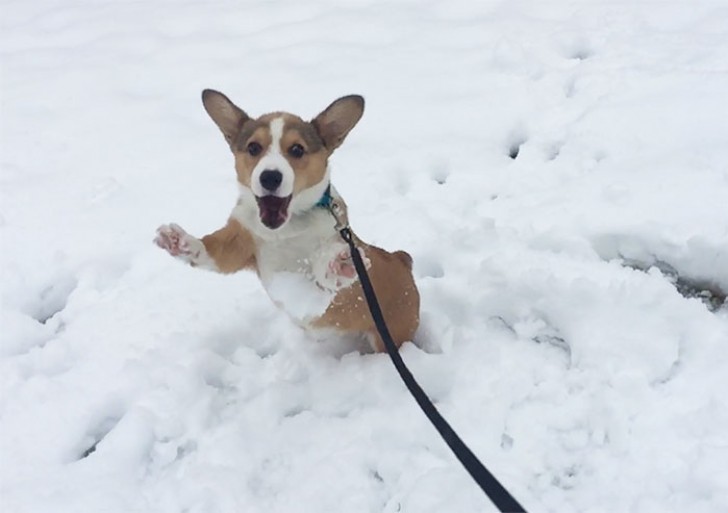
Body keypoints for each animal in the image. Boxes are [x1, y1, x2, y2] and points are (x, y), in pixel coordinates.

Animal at [156, 89, 418, 352]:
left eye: (297, 150)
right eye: (253, 147)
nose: (270, 177)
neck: (284, 229)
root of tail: (402, 259)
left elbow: (323, 283)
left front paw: (339, 267)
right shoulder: (241, 240)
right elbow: (211, 251)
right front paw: (178, 241)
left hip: (391, 334)